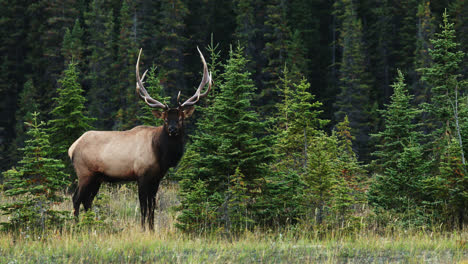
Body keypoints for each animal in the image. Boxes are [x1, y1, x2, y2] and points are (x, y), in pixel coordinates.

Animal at [68, 48, 212, 230]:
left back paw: (91, 225)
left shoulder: (156, 178)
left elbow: (152, 206)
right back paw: (77, 226)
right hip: (84, 172)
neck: (161, 154)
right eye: (165, 119)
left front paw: (152, 228)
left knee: (87, 200)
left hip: (97, 178)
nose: (172, 130)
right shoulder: (142, 175)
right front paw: (143, 228)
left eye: (180, 119)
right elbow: (144, 206)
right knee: (76, 198)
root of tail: (72, 147)